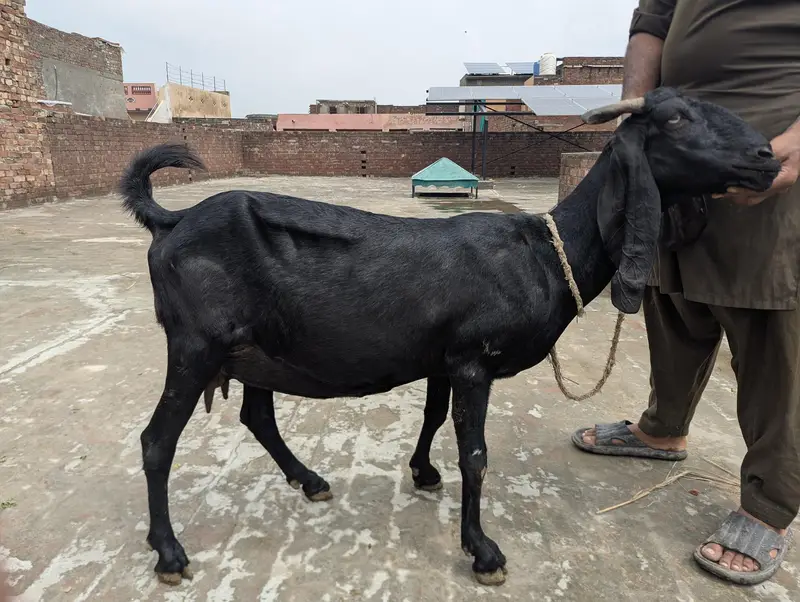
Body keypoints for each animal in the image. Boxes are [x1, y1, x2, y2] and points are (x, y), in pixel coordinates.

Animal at [121, 87, 780, 587]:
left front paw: (422, 472)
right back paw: (170, 553)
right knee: (157, 441)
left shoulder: (443, 357)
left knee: (257, 416)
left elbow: (434, 417)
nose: (766, 156)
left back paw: (310, 482)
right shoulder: (472, 361)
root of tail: (173, 221)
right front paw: (483, 550)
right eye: (677, 118)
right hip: (196, 345)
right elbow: (476, 453)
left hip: (259, 350)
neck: (545, 252)